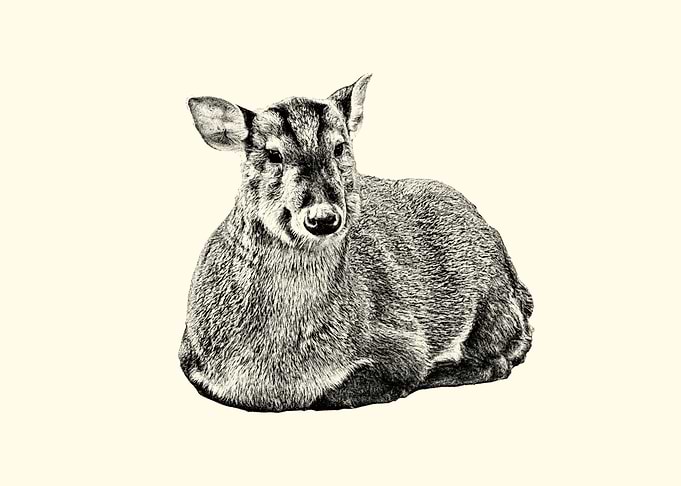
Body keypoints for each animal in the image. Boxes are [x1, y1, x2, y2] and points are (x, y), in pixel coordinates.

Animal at [179, 74, 534, 412]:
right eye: (273, 154)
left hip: (493, 301)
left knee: (501, 357)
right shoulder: (191, 360)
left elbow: (340, 392)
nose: (322, 218)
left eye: (339, 147)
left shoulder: (403, 340)